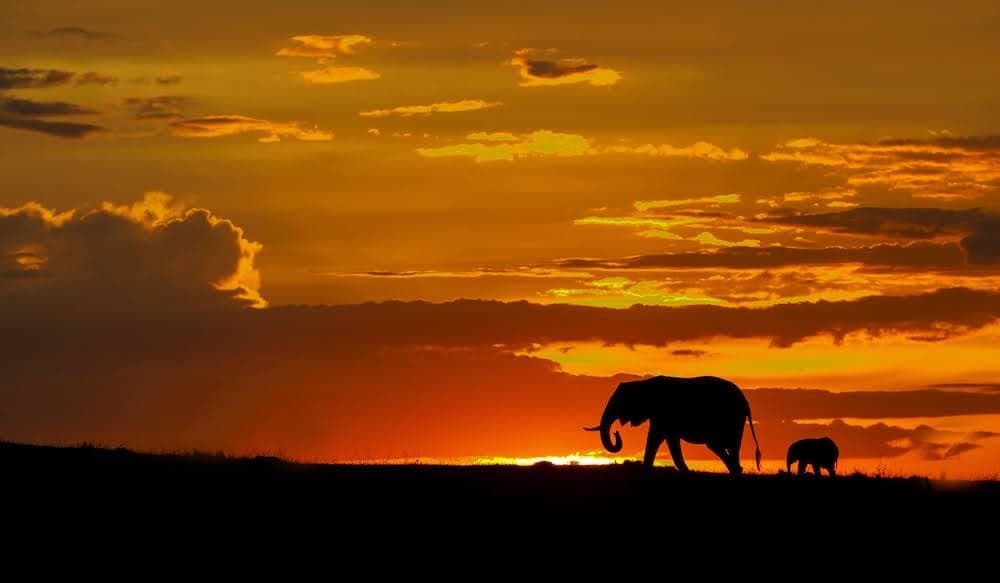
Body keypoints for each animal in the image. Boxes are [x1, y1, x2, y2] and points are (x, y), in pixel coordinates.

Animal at [584, 375, 761, 474]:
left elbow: (656, 437)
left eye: (619, 402)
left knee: (723, 445)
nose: (616, 433)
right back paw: (736, 470)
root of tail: (746, 403)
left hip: (731, 419)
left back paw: (736, 470)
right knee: (723, 446)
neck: (642, 384)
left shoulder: (663, 414)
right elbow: (666, 439)